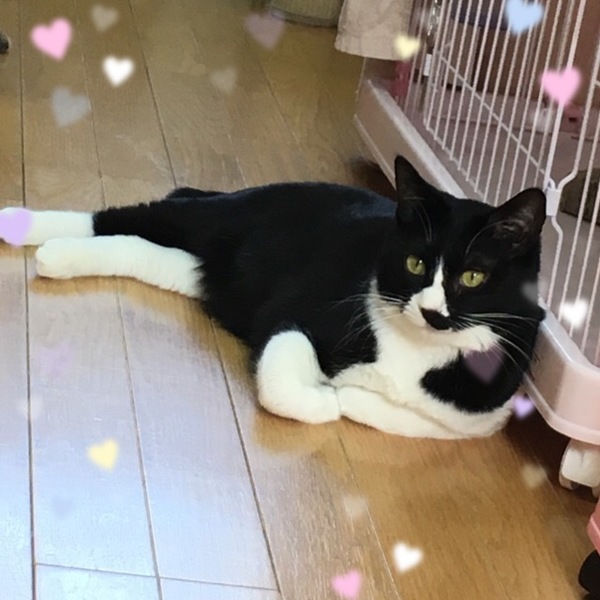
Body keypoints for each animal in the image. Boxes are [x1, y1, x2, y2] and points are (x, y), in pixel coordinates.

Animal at [0, 156, 546, 439]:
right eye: (415, 264)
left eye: (473, 277)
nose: (432, 312)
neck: (416, 351)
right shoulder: (295, 313)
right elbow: (282, 380)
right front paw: (326, 400)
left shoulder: (480, 414)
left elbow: (415, 418)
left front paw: (346, 395)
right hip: (214, 221)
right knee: (136, 213)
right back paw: (23, 225)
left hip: (208, 272)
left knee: (145, 250)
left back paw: (60, 256)